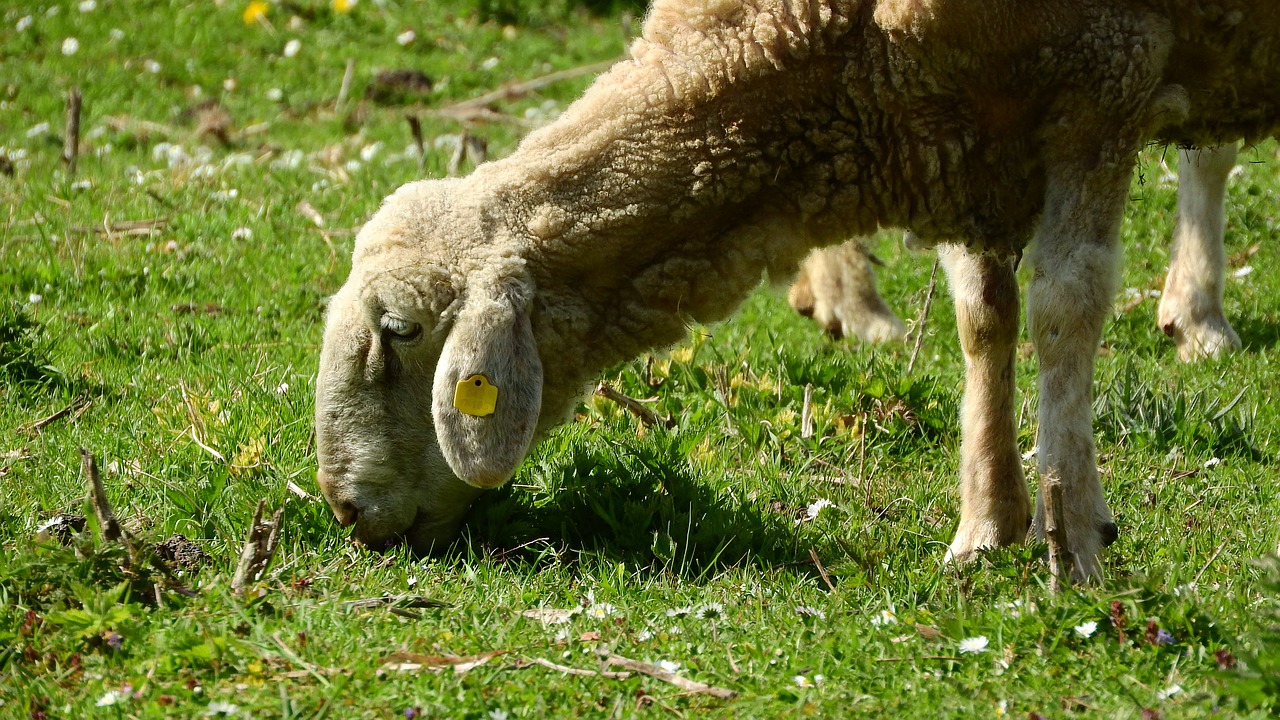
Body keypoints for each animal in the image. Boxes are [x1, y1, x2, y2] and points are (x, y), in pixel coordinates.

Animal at [312, 0, 1280, 579]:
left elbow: (1065, 310)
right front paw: (986, 527)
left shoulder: (1104, 80)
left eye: (398, 330)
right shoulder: (965, 139)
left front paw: (1072, 540)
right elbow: (983, 319)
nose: (347, 513)